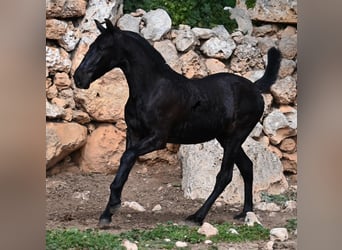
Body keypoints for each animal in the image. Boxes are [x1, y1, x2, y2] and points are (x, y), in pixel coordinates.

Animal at [73, 19, 282, 227]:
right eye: (91, 46)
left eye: (102, 48)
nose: (78, 77)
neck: (152, 89)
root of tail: (255, 89)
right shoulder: (134, 134)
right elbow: (125, 165)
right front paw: (107, 213)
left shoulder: (157, 139)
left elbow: (127, 157)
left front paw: (113, 206)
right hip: (226, 138)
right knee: (247, 166)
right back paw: (246, 212)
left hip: (235, 137)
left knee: (225, 175)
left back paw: (198, 216)